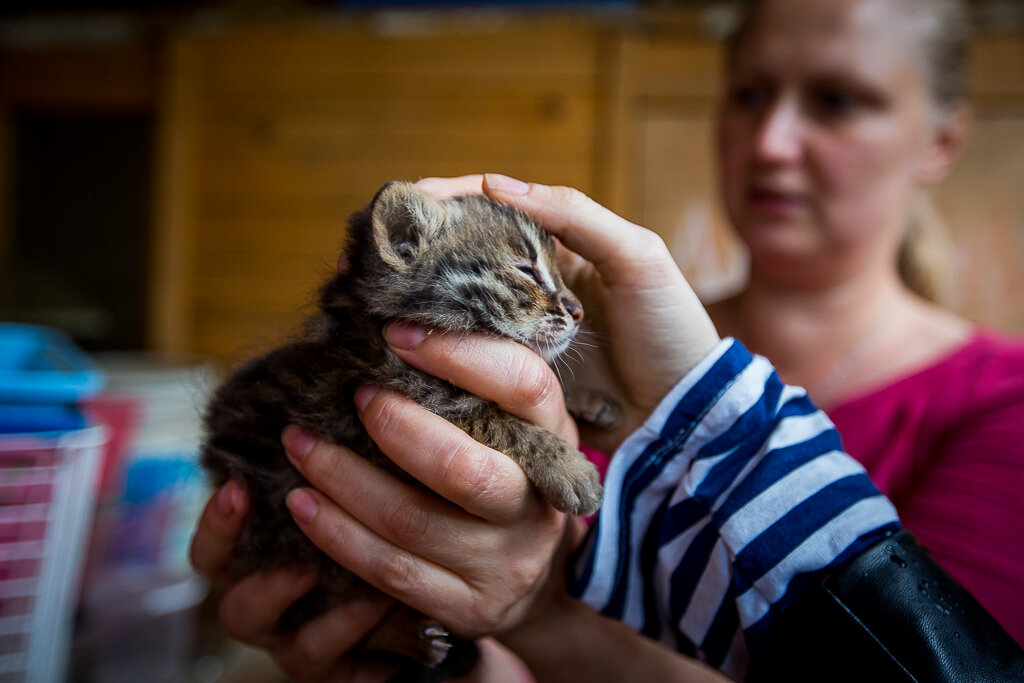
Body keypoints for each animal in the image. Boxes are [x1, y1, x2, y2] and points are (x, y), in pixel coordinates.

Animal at [200, 180, 606, 679]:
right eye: (526, 269)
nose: (579, 310)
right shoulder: (386, 407)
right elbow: (495, 419)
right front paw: (570, 468)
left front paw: (586, 399)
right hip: (291, 538)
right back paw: (405, 636)